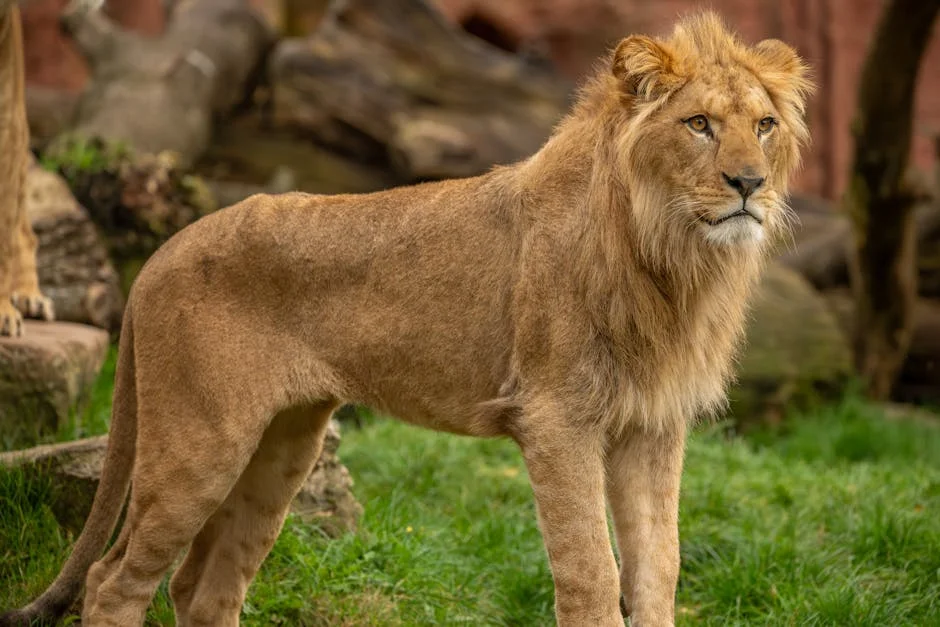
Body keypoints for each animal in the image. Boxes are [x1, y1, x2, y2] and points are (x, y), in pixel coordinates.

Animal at [1, 11, 811, 627]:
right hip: (201, 442)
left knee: (203, 587)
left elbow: (658, 570)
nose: (750, 184)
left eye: (765, 125)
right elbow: (591, 572)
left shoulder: (651, 425)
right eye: (699, 124)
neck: (673, 259)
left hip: (282, 447)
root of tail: (163, 250)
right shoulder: (557, 418)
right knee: (114, 581)